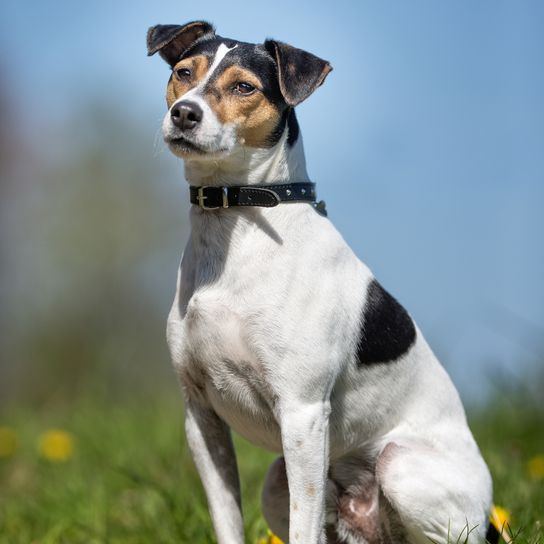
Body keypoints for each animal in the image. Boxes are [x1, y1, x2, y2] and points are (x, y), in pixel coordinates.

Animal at [146, 21, 492, 544]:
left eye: (244, 87)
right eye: (184, 73)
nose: (184, 112)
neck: (236, 227)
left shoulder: (303, 411)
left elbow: (302, 526)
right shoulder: (201, 415)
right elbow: (227, 517)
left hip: (402, 469)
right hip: (277, 481)